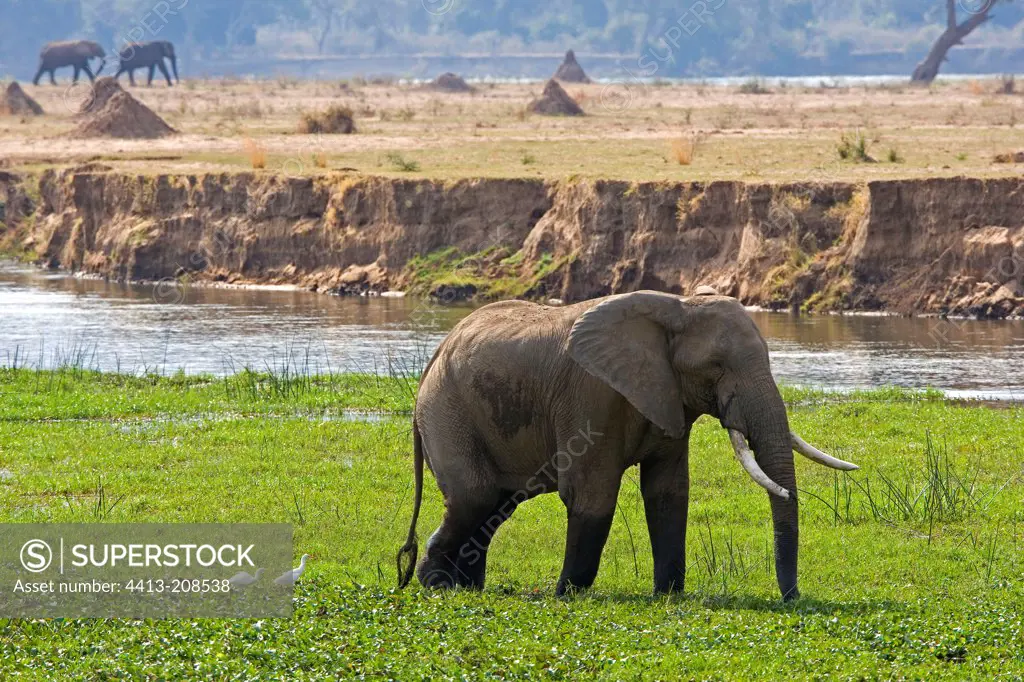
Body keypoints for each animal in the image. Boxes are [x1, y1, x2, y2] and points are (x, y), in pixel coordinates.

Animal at [395, 288, 860, 598]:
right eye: (716, 366)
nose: (791, 598)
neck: (676, 308)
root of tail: (433, 360)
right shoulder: (591, 395)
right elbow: (593, 494)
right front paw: (567, 595)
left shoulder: (669, 395)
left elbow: (669, 493)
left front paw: (669, 595)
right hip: (447, 410)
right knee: (475, 497)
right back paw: (437, 585)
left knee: (494, 507)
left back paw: (467, 587)